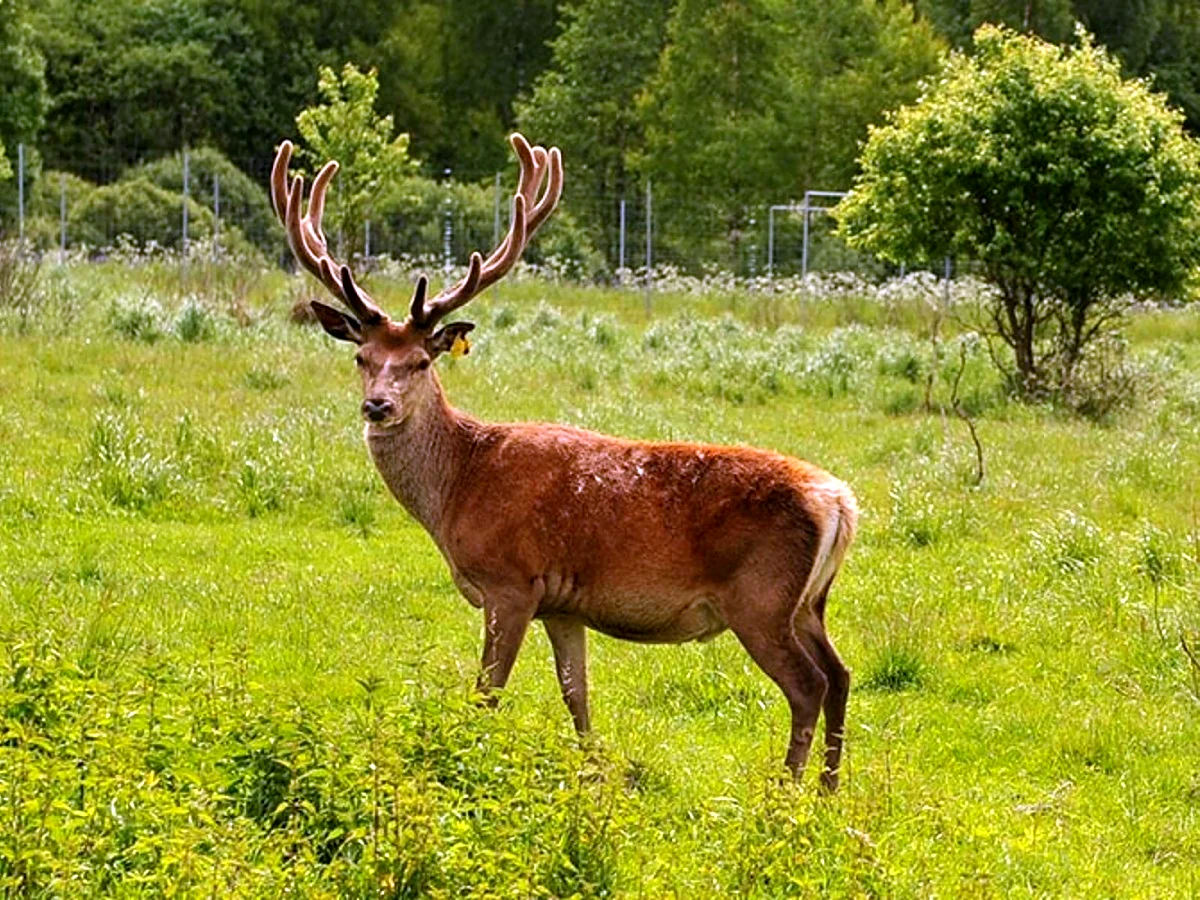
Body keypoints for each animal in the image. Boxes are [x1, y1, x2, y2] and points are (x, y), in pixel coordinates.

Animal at [271, 132, 859, 787]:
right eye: (362, 358)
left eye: (422, 362)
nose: (378, 406)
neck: (458, 487)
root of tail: (839, 501)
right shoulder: (563, 604)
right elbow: (577, 696)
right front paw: (592, 777)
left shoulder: (510, 581)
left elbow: (487, 693)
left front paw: (467, 766)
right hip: (809, 601)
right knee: (840, 675)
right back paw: (830, 789)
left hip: (760, 597)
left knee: (808, 685)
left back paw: (788, 790)